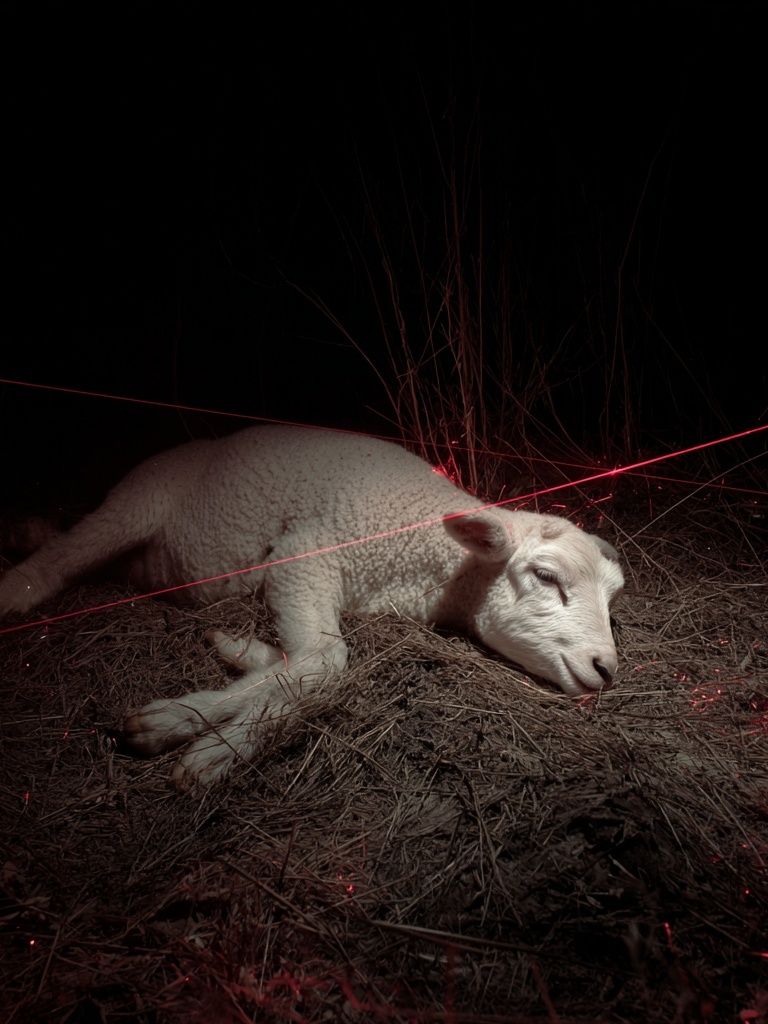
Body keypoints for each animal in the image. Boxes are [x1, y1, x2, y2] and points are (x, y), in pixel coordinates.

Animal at [0, 425, 624, 787]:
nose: (606, 669)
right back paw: (16, 588)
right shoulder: (303, 556)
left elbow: (305, 668)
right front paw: (200, 738)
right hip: (142, 497)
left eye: (611, 599)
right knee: (67, 553)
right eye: (546, 576)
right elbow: (327, 662)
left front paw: (227, 706)